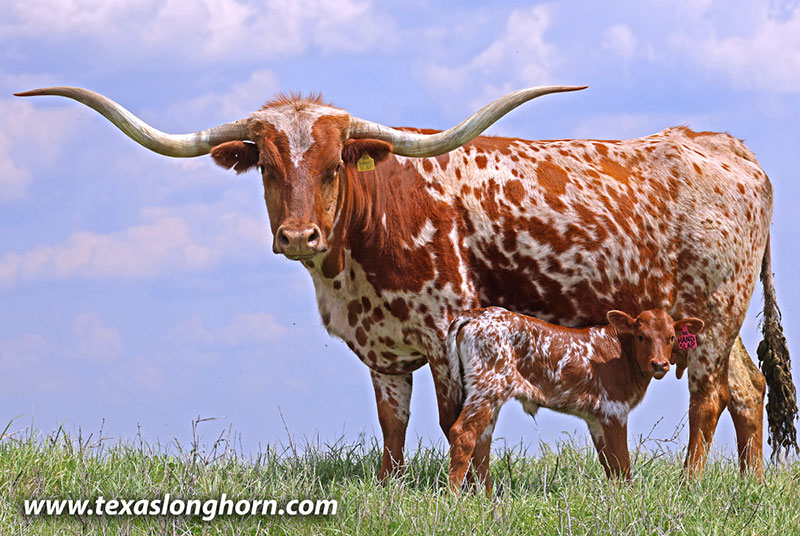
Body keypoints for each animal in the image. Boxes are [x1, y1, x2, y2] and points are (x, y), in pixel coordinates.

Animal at [446, 307, 704, 493]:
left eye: (671, 337)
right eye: (641, 337)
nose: (660, 364)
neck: (622, 354)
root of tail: (479, 313)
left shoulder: (597, 419)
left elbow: (609, 462)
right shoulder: (614, 410)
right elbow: (622, 462)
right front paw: (627, 500)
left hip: (490, 393)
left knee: (482, 443)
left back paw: (488, 500)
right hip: (487, 387)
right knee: (463, 434)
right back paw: (455, 499)